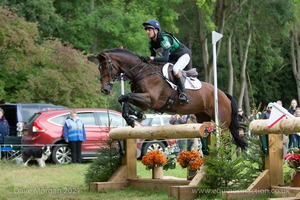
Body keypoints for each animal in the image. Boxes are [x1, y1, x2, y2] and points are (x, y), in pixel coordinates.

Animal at [97, 48, 247, 148]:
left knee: (226, 142)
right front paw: (133, 117)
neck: (143, 72)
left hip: (222, 123)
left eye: (105, 66)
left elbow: (125, 96)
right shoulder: (143, 100)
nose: (104, 89)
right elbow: (123, 99)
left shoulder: (150, 100)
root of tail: (223, 94)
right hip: (203, 117)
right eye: (99, 67)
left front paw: (134, 116)